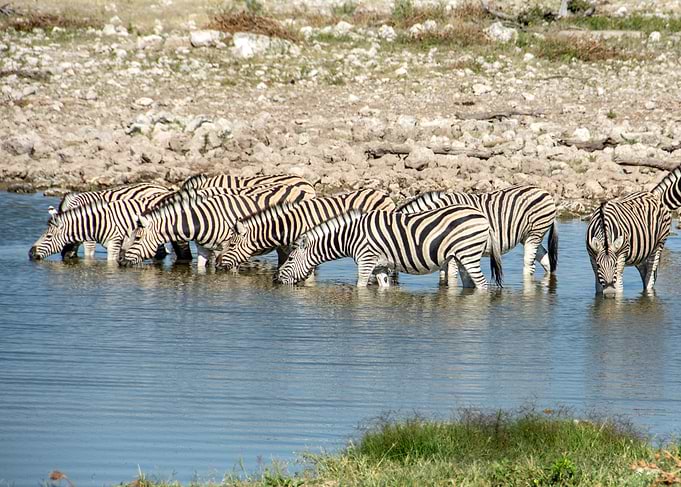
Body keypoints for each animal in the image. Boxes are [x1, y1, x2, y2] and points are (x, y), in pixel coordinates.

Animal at [276, 206, 503, 289]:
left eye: (290, 259)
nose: (275, 280)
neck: (350, 236)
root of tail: (482, 216)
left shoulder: (366, 261)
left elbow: (360, 287)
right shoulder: (380, 267)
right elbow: (383, 288)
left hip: (469, 255)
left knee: (483, 285)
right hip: (461, 257)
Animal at [396, 185, 557, 285]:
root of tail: (544, 191)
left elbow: (452, 277)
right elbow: (442, 277)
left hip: (534, 234)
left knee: (529, 265)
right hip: (526, 236)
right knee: (546, 261)